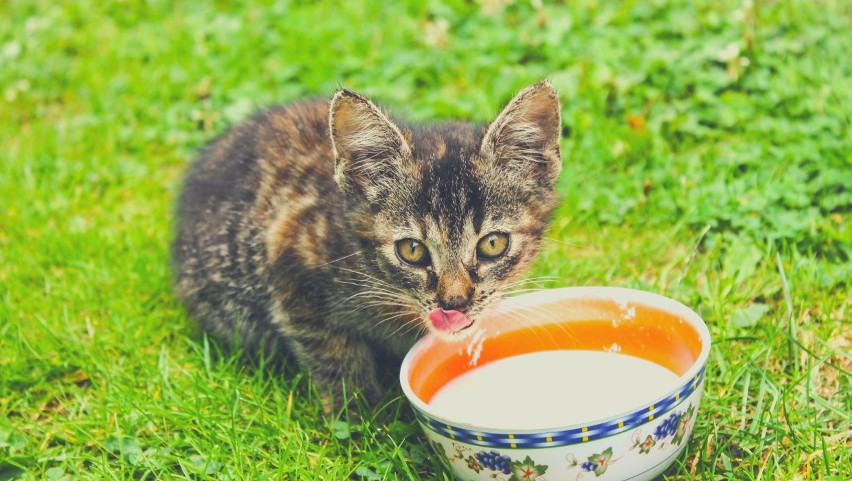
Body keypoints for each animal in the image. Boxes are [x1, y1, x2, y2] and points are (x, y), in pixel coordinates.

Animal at [171, 80, 564, 404]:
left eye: (492, 244)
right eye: (412, 250)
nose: (454, 303)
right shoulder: (291, 262)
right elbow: (333, 353)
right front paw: (362, 417)